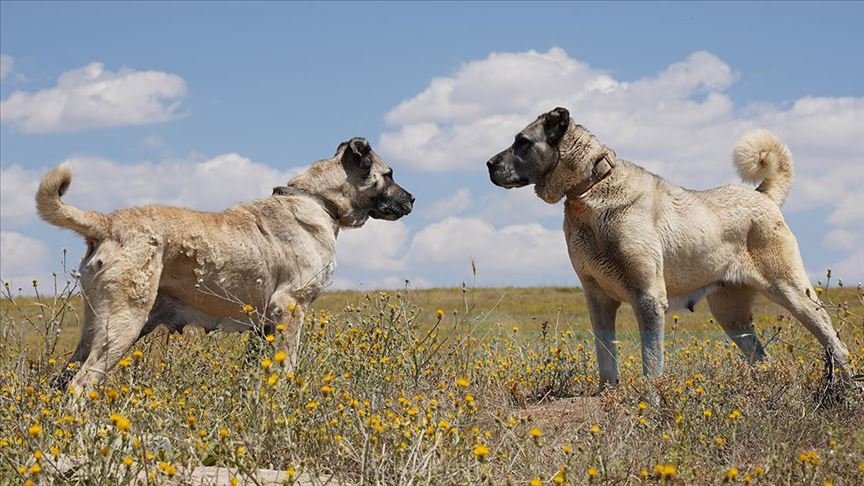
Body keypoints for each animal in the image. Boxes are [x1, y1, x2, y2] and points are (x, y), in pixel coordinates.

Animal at [40, 138, 416, 394]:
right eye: (389, 174)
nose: (412, 198)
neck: (318, 200)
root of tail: (108, 222)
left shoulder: (265, 324)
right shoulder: (290, 307)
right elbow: (288, 364)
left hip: (98, 328)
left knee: (63, 379)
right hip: (123, 325)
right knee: (81, 384)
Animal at [490, 107, 852, 392]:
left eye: (522, 142)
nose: (488, 163)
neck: (591, 188)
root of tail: (762, 196)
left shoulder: (647, 298)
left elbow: (651, 361)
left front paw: (651, 400)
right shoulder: (598, 300)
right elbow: (606, 356)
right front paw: (607, 396)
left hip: (792, 292)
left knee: (835, 345)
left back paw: (844, 389)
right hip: (730, 314)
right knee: (761, 357)